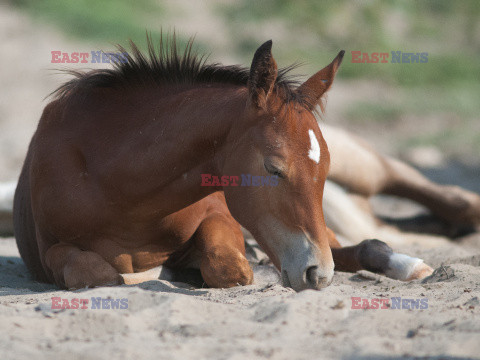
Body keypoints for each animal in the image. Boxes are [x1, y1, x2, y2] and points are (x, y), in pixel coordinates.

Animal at [14, 36, 480, 292]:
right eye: (273, 168)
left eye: (323, 169)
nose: (317, 274)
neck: (117, 184)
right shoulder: (52, 248)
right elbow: (98, 273)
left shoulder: (222, 217)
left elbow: (230, 267)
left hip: (360, 171)